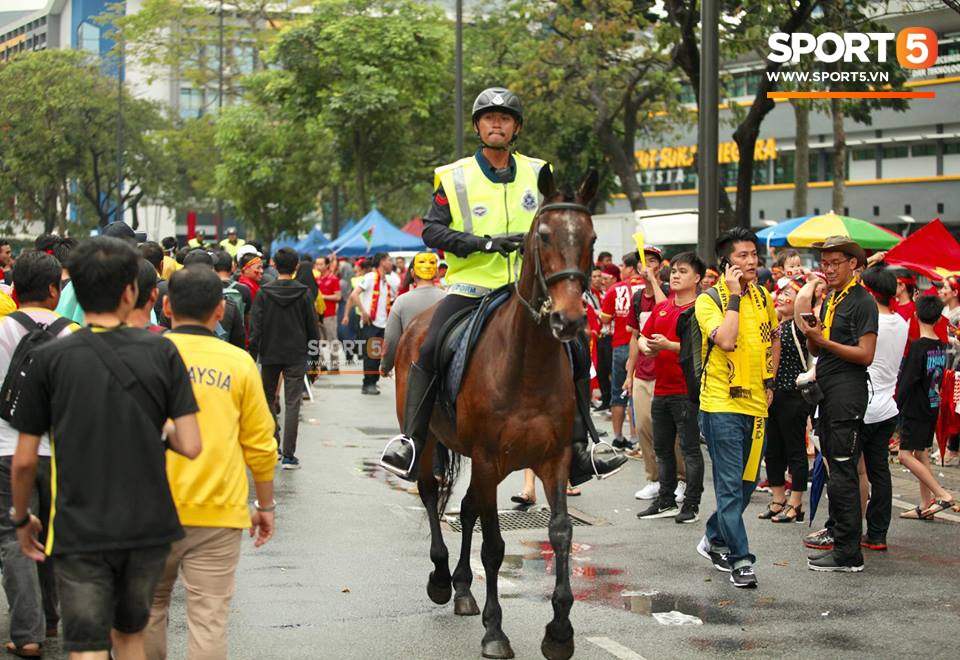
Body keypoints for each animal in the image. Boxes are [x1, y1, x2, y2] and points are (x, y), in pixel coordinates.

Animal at [392, 168, 600, 656]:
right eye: (542, 236)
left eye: (592, 238)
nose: (569, 320)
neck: (526, 364)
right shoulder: (488, 458)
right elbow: (494, 546)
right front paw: (495, 632)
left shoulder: (553, 458)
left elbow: (560, 532)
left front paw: (559, 631)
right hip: (432, 443)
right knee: (431, 493)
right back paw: (441, 579)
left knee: (466, 507)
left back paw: (463, 588)